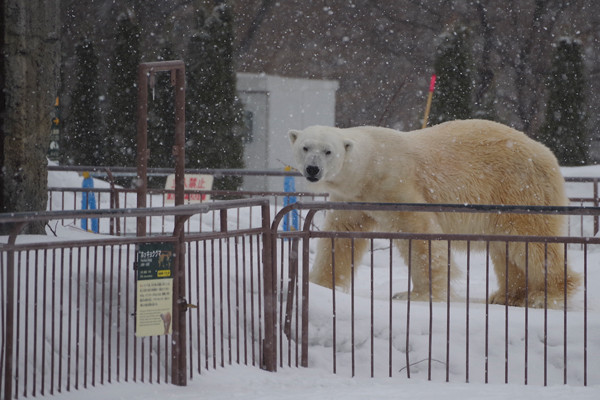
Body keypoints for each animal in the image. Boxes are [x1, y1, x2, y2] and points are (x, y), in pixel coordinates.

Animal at [288, 119, 580, 310]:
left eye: (328, 151)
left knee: (532, 241)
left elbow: (420, 236)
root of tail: (547, 153)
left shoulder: (396, 186)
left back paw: (546, 296)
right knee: (505, 248)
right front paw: (318, 284)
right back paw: (507, 296)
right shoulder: (352, 199)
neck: (370, 166)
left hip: (520, 189)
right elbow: (339, 237)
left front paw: (415, 295)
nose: (313, 169)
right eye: (305, 147)